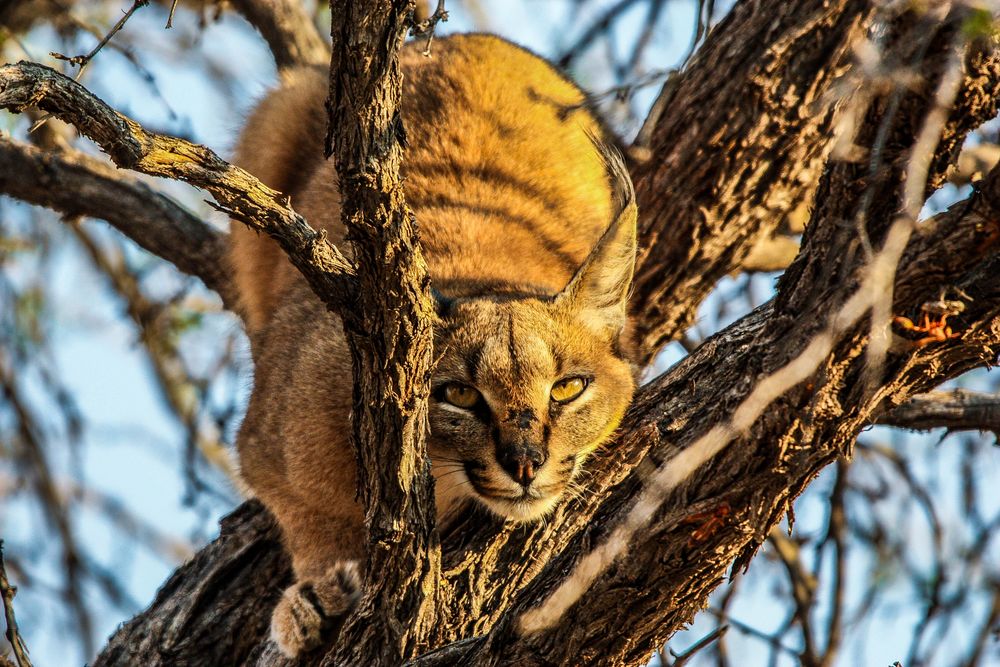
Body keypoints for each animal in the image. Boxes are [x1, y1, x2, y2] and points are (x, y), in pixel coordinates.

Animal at [229, 35, 636, 656]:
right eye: (459, 395)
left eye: (568, 388)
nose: (526, 464)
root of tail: (462, 38)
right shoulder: (263, 443)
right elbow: (302, 515)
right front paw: (316, 591)